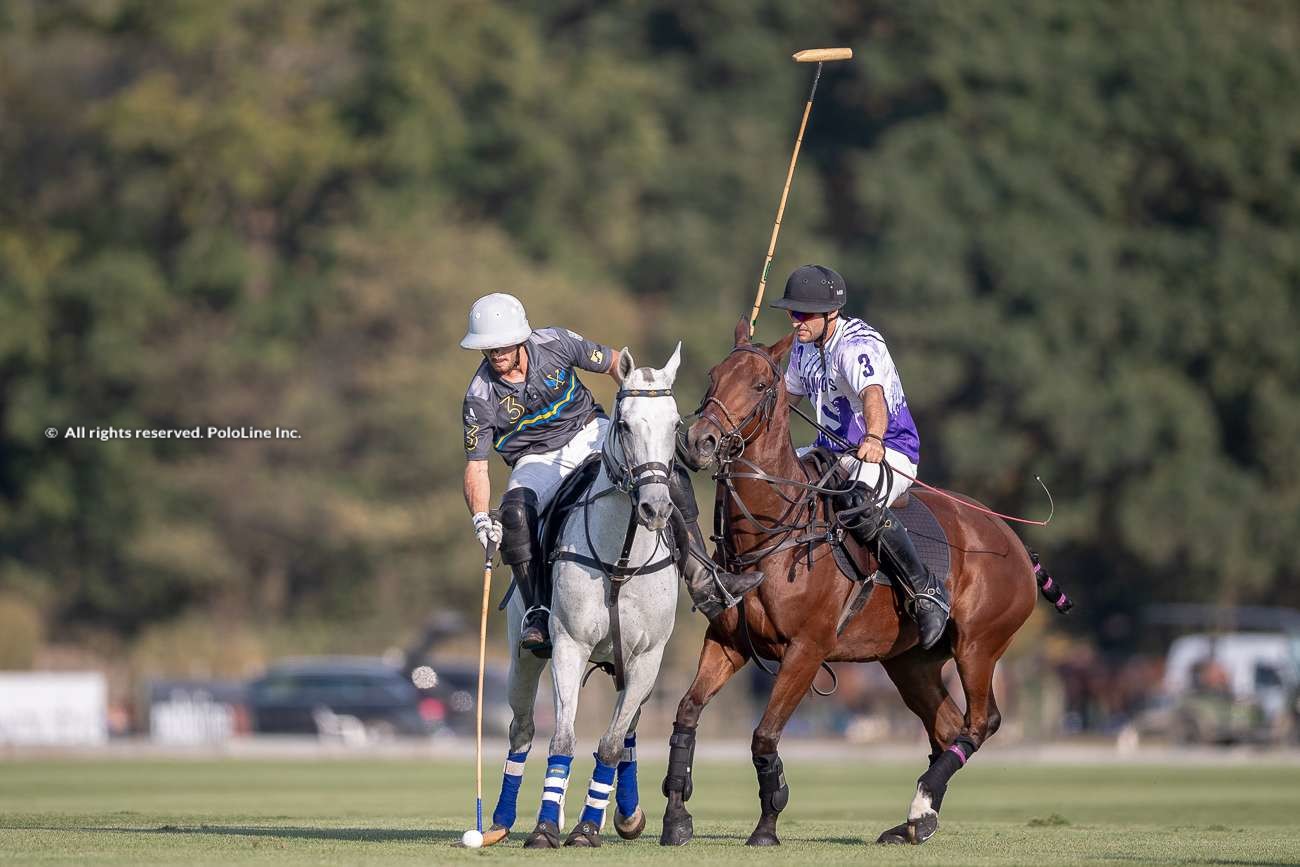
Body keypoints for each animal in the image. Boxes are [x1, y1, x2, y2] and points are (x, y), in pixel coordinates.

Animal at [483, 343, 686, 847]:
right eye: (624, 424)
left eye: (676, 424)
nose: (655, 508)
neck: (621, 561)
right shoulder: (569, 646)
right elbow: (562, 739)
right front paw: (545, 827)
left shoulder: (648, 658)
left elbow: (611, 744)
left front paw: (589, 827)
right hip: (524, 656)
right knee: (522, 730)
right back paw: (501, 820)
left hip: (628, 666)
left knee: (627, 733)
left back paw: (626, 816)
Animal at [660, 318, 1066, 847]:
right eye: (712, 375)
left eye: (761, 385)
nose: (698, 441)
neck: (771, 533)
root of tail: (1016, 543)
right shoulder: (728, 641)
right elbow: (686, 713)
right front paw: (676, 818)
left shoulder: (807, 650)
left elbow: (765, 735)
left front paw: (767, 826)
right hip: (910, 662)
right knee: (946, 727)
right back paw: (918, 821)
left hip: (978, 645)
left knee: (980, 722)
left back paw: (919, 806)